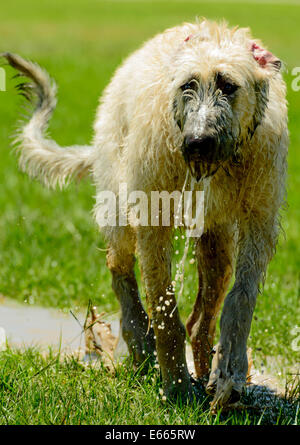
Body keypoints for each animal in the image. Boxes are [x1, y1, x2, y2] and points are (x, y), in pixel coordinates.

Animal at [2, 19, 288, 408]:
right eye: (188, 85)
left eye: (228, 85)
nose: (197, 143)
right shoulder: (153, 213)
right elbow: (163, 304)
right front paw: (176, 386)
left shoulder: (259, 214)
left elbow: (241, 299)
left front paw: (229, 373)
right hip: (119, 199)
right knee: (119, 268)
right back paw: (141, 348)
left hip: (216, 241)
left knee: (204, 310)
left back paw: (205, 372)